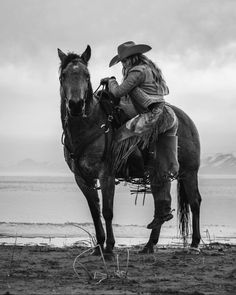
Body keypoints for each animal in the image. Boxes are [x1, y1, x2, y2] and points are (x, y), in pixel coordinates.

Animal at [58, 45, 202, 256]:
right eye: (63, 75)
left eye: (87, 75)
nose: (76, 105)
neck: (89, 126)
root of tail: (186, 120)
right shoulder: (82, 178)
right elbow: (95, 212)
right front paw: (99, 246)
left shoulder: (106, 175)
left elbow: (107, 212)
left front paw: (109, 247)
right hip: (160, 174)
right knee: (161, 203)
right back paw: (149, 245)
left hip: (189, 172)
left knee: (194, 202)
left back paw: (194, 244)